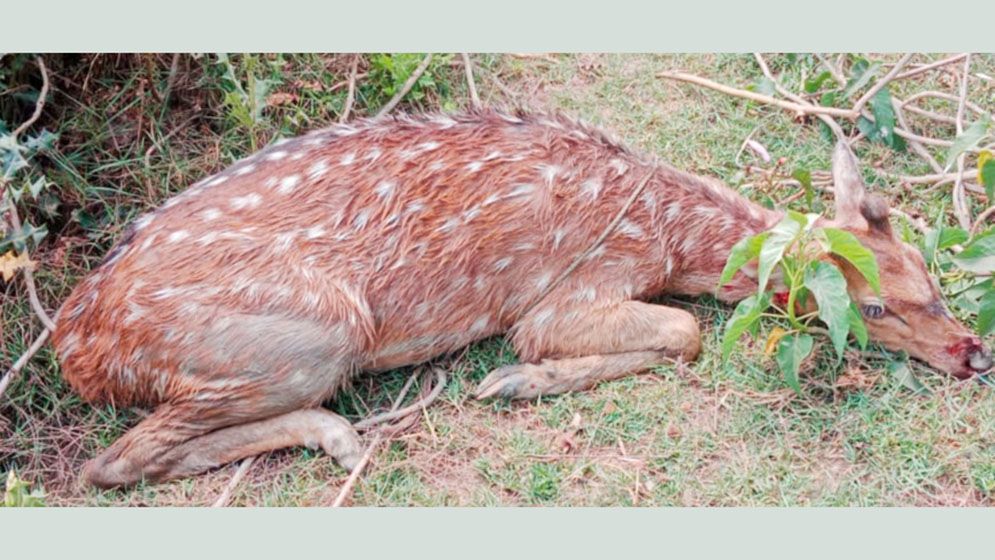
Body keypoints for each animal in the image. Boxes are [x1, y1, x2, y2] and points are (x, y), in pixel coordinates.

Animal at [56, 109, 995, 486]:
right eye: (871, 311)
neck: (670, 238)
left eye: (929, 276)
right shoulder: (569, 290)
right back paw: (338, 434)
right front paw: (516, 380)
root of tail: (77, 348)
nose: (971, 353)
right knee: (114, 462)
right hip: (311, 335)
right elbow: (682, 331)